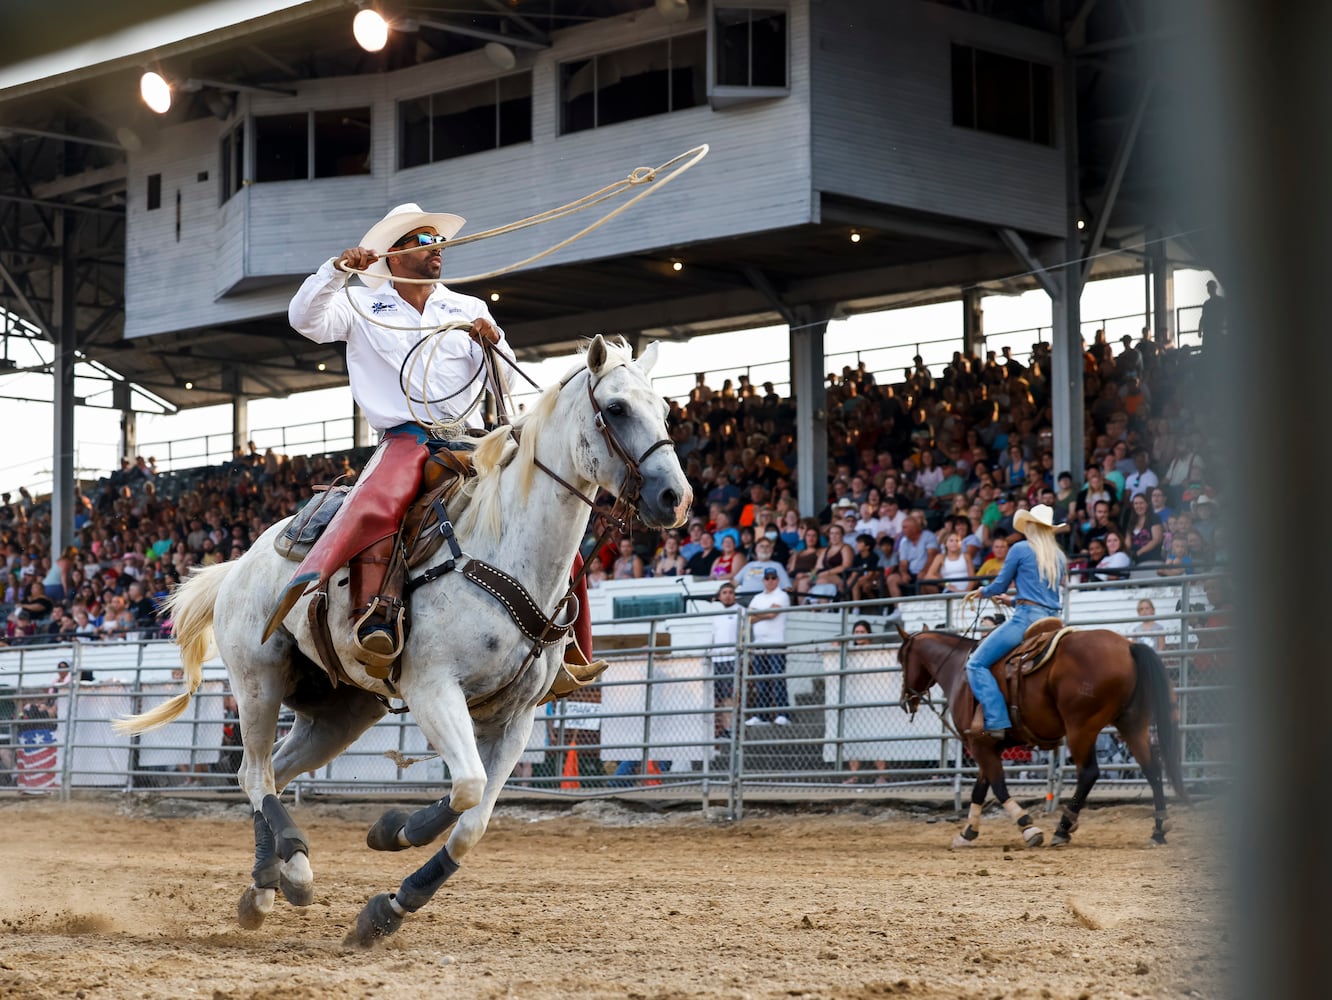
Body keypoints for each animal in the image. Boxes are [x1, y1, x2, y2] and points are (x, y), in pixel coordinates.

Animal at [114, 336, 687, 948]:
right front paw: (395, 829)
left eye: (665, 409)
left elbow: (474, 819)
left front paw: (389, 907)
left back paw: (272, 882)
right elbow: (466, 786)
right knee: (255, 773)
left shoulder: (517, 716)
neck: (507, 548)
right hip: (257, 681)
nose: (675, 497)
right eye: (618, 408)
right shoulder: (433, 688)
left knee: (275, 771)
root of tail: (239, 564)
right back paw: (283, 869)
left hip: (341, 712)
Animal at [895, 628, 1188, 846]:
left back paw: (1063, 828)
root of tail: (1128, 646)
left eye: (901, 660)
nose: (906, 701)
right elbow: (980, 788)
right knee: (1152, 768)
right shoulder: (988, 745)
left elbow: (998, 786)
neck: (959, 668)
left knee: (1089, 773)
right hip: (1132, 723)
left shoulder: (978, 744)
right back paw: (1159, 829)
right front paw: (967, 833)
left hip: (1081, 728)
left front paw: (1028, 828)